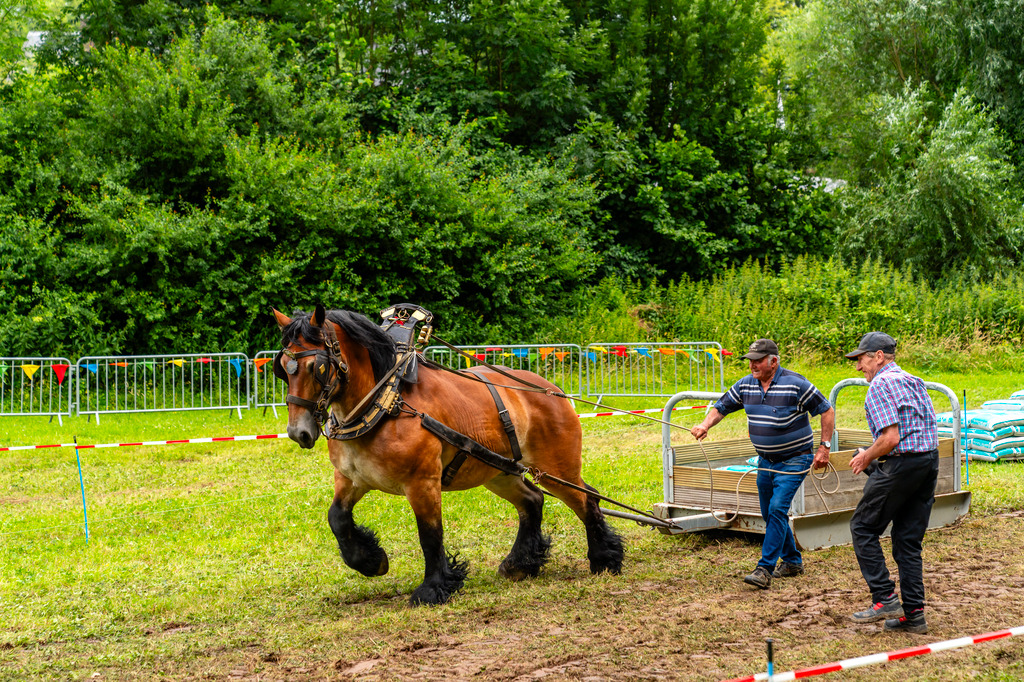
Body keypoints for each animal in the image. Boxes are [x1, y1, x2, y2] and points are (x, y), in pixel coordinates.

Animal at [274, 305, 622, 602]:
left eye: (316, 367)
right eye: (283, 369)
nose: (298, 432)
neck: (385, 403)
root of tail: (550, 390)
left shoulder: (422, 483)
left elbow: (429, 534)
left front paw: (433, 588)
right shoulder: (350, 479)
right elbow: (337, 518)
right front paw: (370, 560)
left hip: (557, 470)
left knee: (587, 499)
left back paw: (604, 558)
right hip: (499, 472)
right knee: (533, 501)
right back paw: (521, 563)